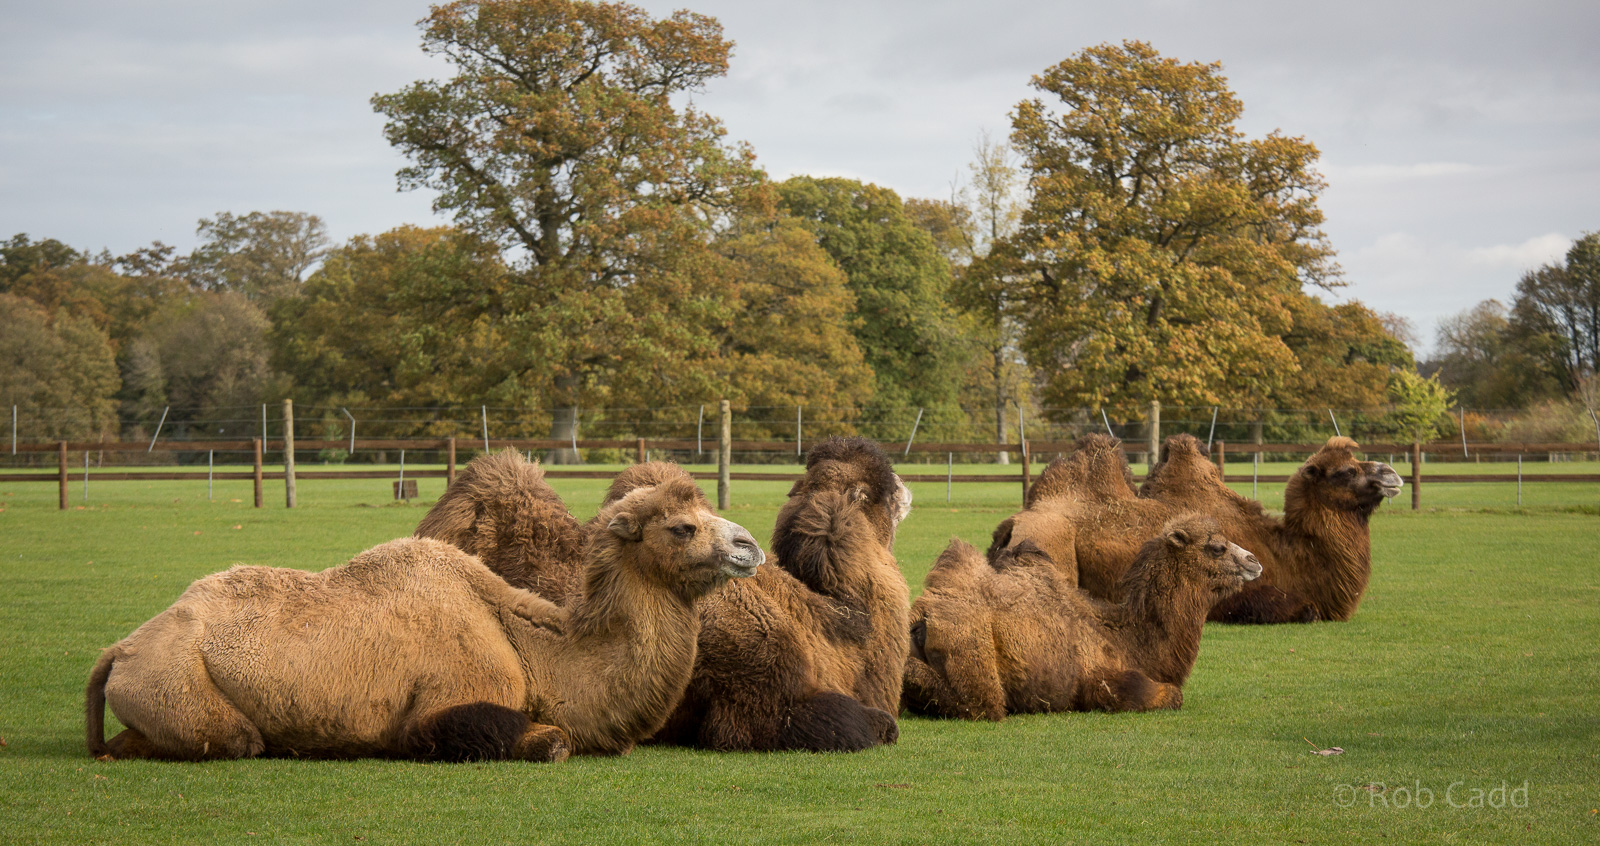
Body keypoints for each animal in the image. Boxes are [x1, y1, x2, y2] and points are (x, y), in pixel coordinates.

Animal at [85, 478, 762, 762]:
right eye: (683, 527)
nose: (749, 547)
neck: (533, 648)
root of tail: (118, 650)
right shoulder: (447, 703)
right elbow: (549, 742)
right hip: (178, 684)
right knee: (233, 740)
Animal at [901, 516, 1261, 720]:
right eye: (1216, 547)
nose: (1254, 561)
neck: (1125, 637)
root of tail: (920, 619)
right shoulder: (1100, 682)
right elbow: (1171, 695)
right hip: (972, 655)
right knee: (979, 705)